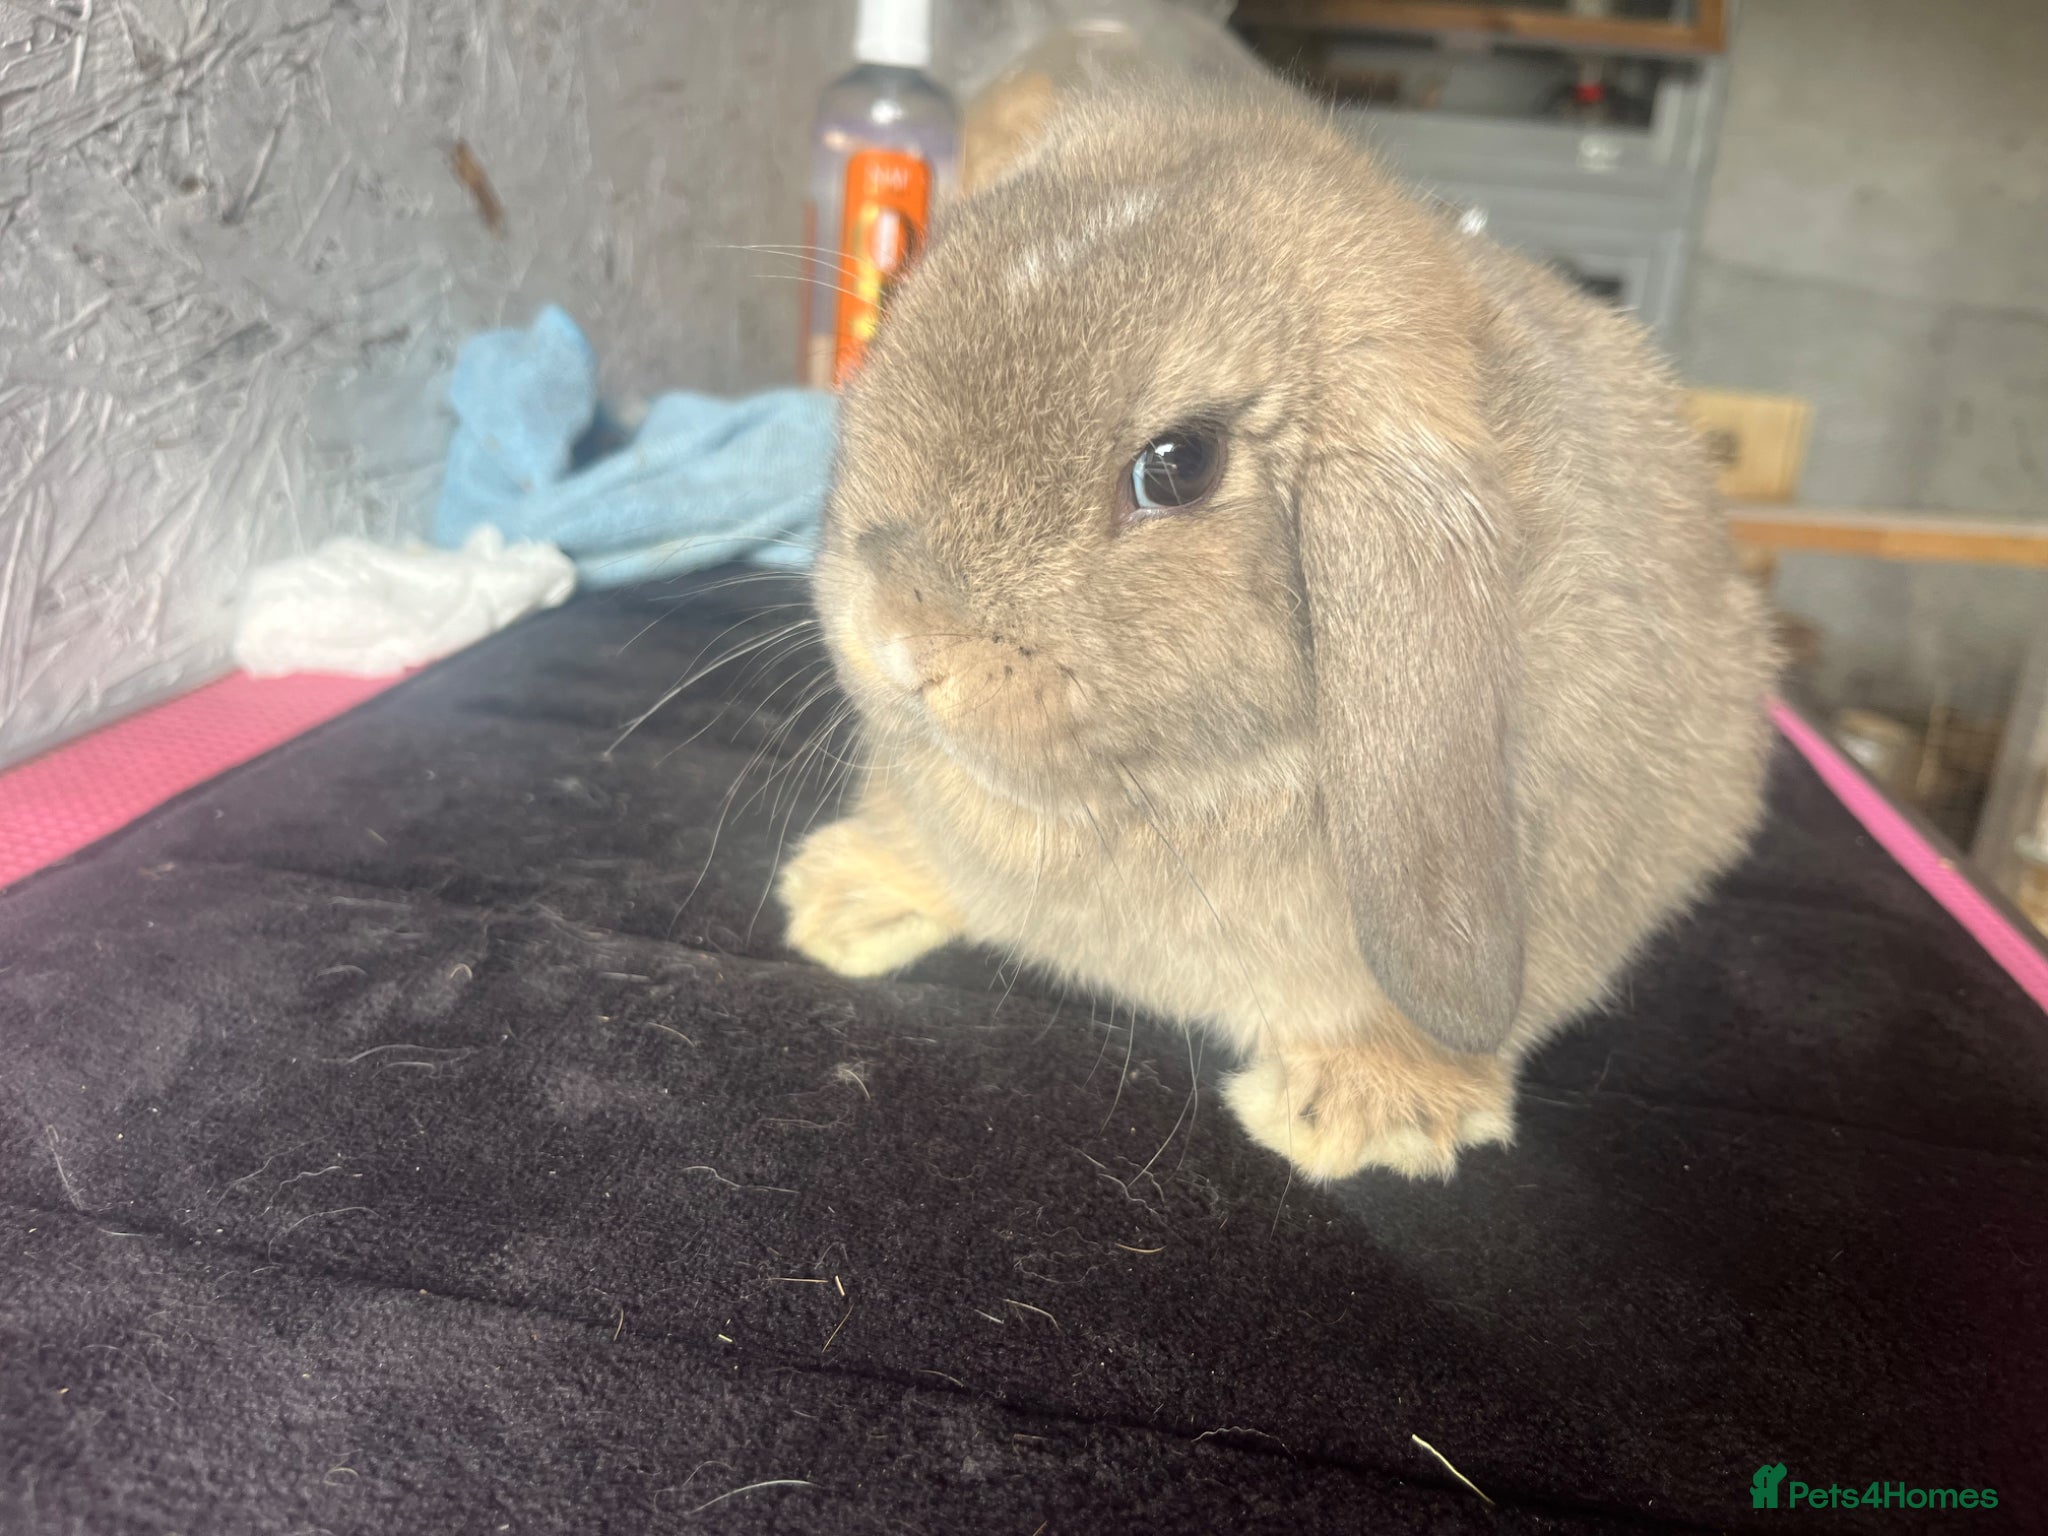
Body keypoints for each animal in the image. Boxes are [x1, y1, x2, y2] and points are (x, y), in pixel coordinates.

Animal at [777, 73, 1776, 1181]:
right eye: (902, 305)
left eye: (1179, 465)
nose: (902, 638)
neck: (1156, 798)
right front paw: (840, 897)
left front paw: (1365, 1111)